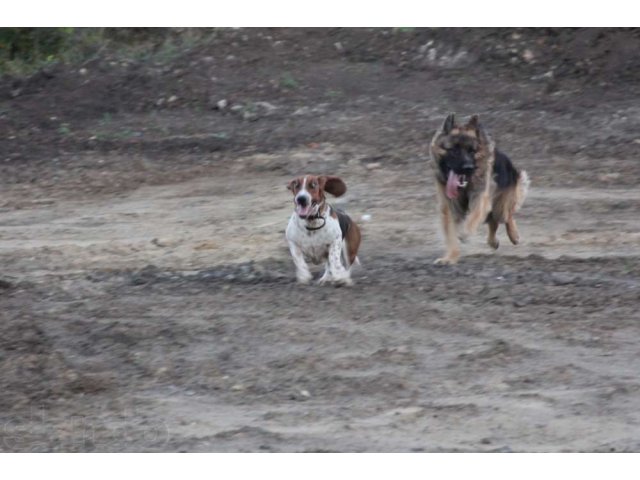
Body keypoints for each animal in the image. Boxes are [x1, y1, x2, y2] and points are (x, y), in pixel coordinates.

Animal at [430, 114, 528, 264]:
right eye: (454, 150)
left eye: (472, 151)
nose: (468, 167)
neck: (464, 187)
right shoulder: (449, 207)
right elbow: (451, 235)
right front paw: (450, 257)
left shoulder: (481, 198)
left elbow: (473, 218)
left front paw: (464, 233)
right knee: (493, 222)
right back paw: (493, 242)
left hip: (501, 206)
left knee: (506, 216)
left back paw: (514, 235)